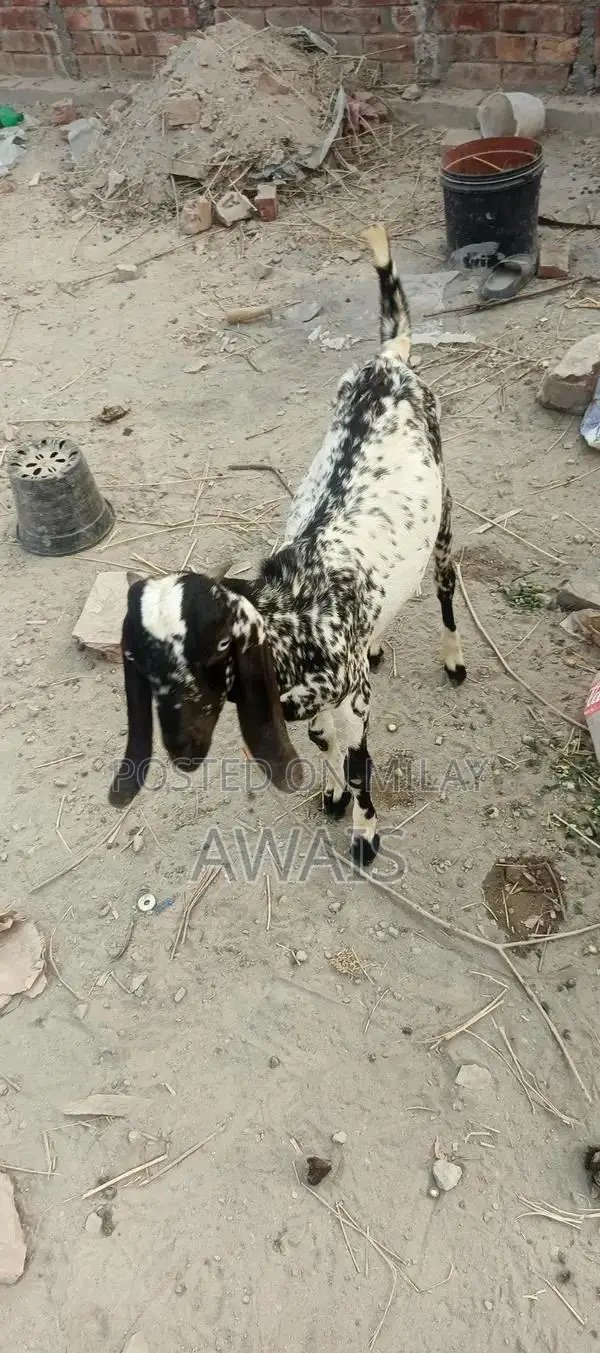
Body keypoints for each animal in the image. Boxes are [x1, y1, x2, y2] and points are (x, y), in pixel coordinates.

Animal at [108, 224, 466, 866]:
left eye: (212, 652)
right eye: (144, 665)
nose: (183, 750)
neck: (293, 618)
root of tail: (388, 360)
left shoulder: (353, 700)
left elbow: (359, 763)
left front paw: (365, 835)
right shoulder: (320, 702)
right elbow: (325, 745)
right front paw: (332, 797)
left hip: (446, 504)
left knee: (447, 583)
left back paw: (454, 660)